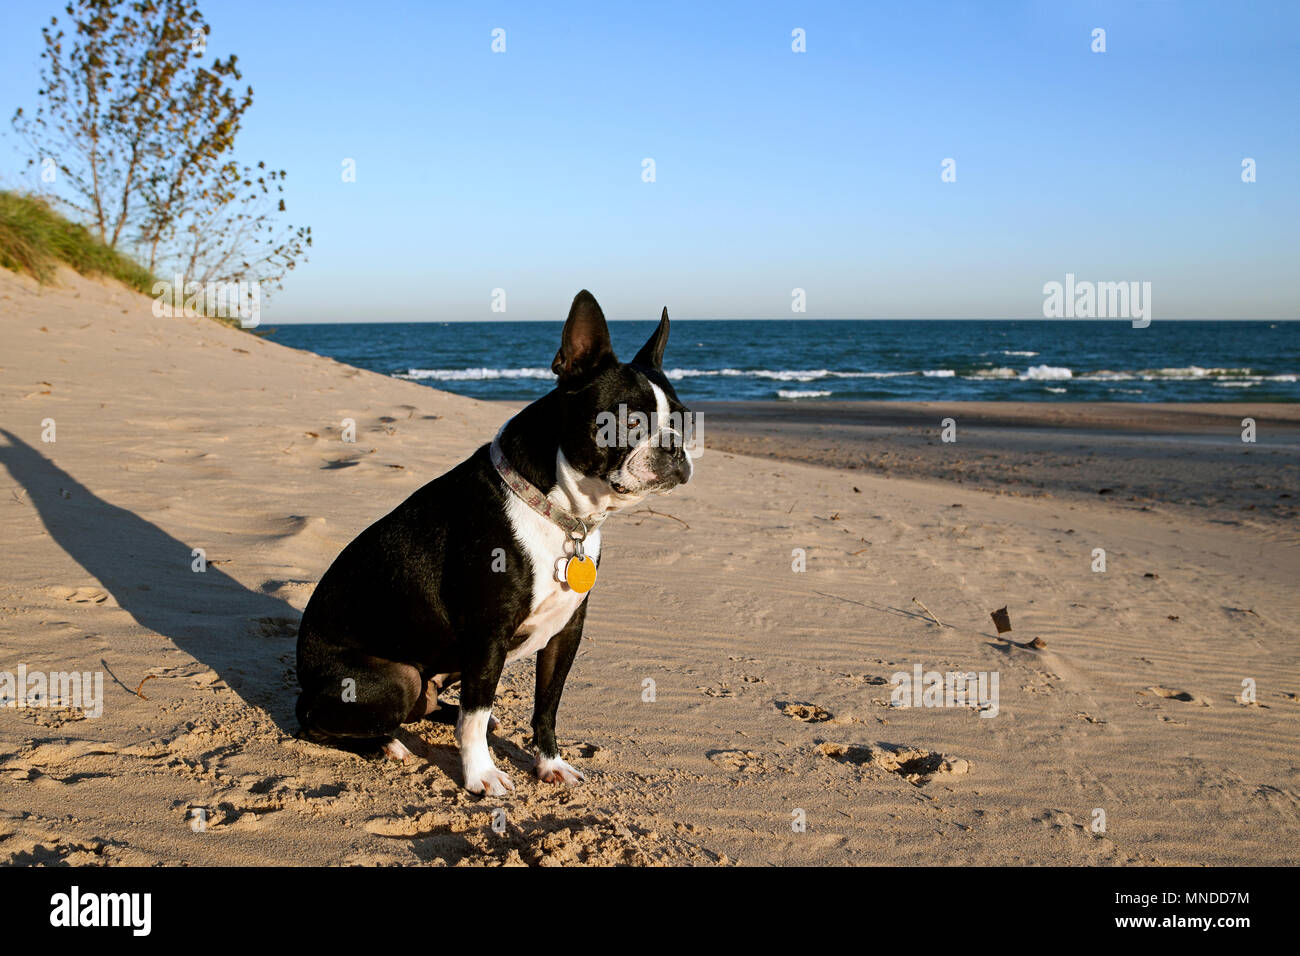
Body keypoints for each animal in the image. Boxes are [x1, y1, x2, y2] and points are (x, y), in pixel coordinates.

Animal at [293, 293, 691, 801]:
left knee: (435, 705)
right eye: (627, 421)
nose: (675, 448)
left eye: (682, 419)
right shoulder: (488, 635)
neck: (560, 510)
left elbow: (547, 706)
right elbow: (476, 715)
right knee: (314, 721)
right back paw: (384, 744)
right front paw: (480, 775)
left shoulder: (566, 631)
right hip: (394, 677)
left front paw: (550, 764)